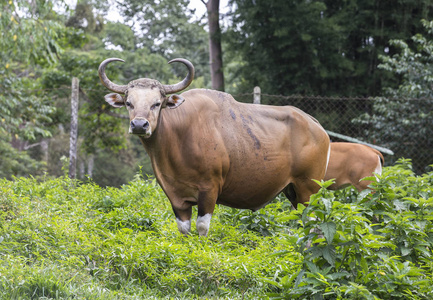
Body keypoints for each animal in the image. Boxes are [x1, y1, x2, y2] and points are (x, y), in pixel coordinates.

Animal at [97, 58, 328, 237]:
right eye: (129, 103)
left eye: (157, 103)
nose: (139, 125)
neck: (178, 140)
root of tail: (316, 126)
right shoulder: (176, 197)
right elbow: (184, 229)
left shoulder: (209, 190)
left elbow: (202, 227)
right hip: (293, 191)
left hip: (309, 190)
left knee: (314, 225)